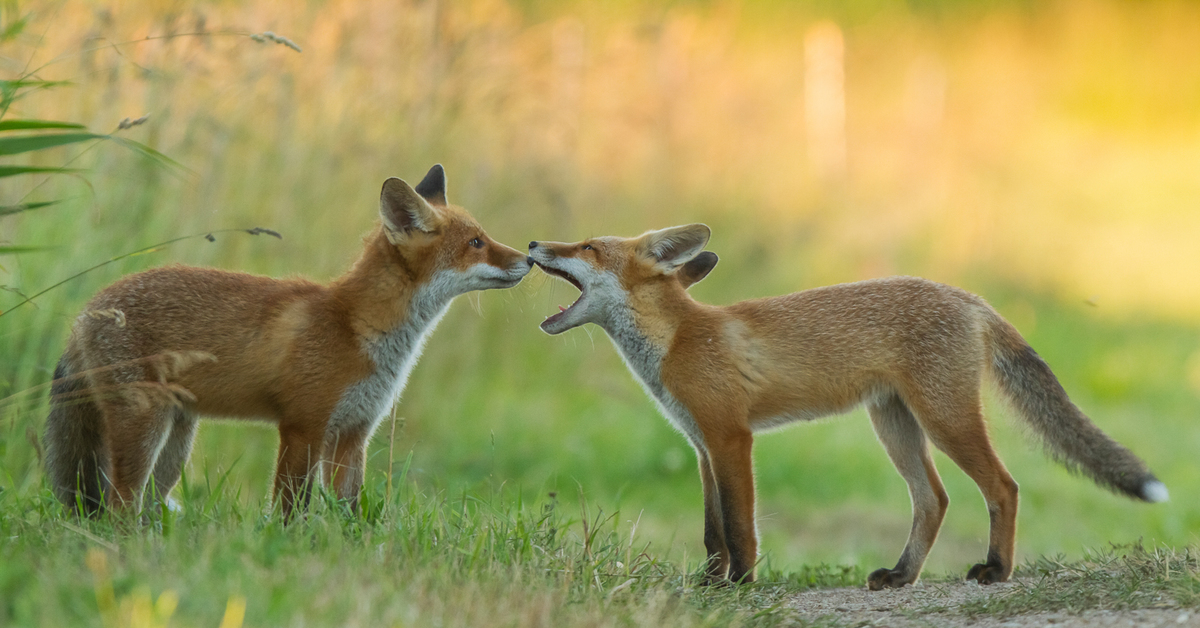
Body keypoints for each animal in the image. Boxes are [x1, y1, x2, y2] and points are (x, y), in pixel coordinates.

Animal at [45, 164, 535, 518]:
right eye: (476, 243)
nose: (530, 257)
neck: (356, 328)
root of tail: (89, 309)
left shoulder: (352, 433)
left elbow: (347, 512)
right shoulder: (303, 426)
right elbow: (291, 509)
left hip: (176, 440)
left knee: (142, 504)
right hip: (144, 427)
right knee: (119, 506)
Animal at [530, 224, 1166, 590]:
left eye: (587, 247)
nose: (535, 245)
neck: (680, 339)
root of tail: (970, 298)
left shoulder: (732, 438)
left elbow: (739, 526)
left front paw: (741, 585)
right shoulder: (701, 446)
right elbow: (712, 531)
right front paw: (709, 586)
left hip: (945, 419)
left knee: (1003, 487)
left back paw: (996, 570)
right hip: (894, 424)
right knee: (934, 500)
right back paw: (902, 576)